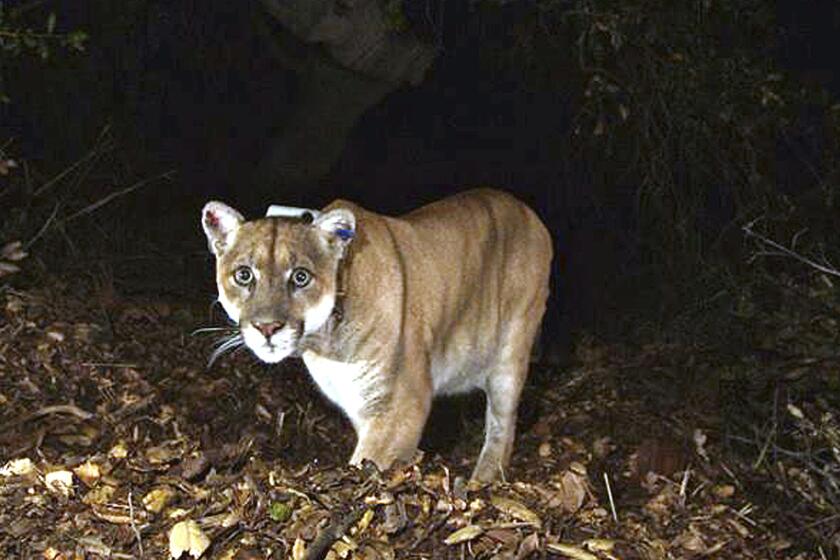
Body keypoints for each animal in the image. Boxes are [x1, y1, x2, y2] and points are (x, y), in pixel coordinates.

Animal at [199, 189, 548, 482]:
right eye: (244, 275)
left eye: (300, 277)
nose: (268, 327)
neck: (325, 344)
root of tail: (526, 208)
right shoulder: (361, 404)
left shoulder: (401, 404)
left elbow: (368, 462)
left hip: (511, 353)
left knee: (503, 425)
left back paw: (483, 479)